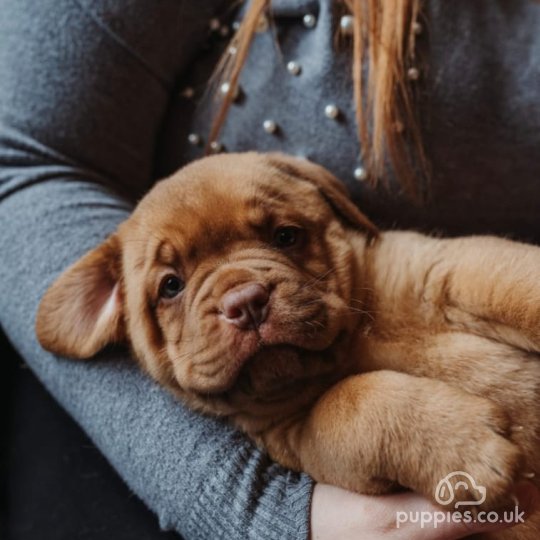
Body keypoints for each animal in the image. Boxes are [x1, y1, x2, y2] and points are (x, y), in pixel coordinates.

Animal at [37, 154, 540, 536]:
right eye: (171, 286)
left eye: (285, 236)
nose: (244, 302)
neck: (352, 343)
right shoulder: (299, 435)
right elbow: (349, 405)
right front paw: (462, 443)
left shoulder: (449, 269)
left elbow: (520, 289)